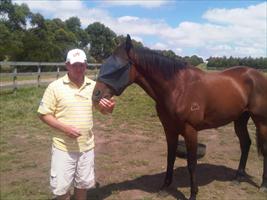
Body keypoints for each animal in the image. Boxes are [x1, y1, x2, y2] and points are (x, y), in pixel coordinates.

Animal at [92, 35, 267, 199]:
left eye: (119, 67)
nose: (96, 95)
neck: (177, 88)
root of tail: (257, 75)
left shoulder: (190, 131)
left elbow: (192, 163)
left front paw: (193, 194)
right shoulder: (169, 130)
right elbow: (170, 158)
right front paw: (164, 187)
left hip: (261, 122)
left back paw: (263, 185)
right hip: (240, 119)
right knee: (246, 144)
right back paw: (238, 178)